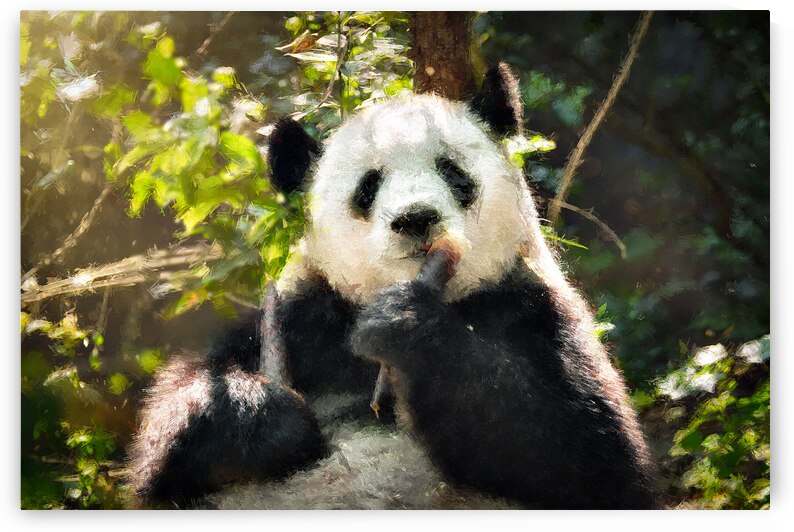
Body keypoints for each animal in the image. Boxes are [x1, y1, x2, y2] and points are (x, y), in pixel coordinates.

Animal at [128, 64, 660, 510]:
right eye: (368, 187)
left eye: (452, 171)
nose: (416, 219)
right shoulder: (306, 314)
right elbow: (176, 426)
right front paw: (263, 415)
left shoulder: (529, 304)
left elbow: (588, 458)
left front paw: (405, 325)